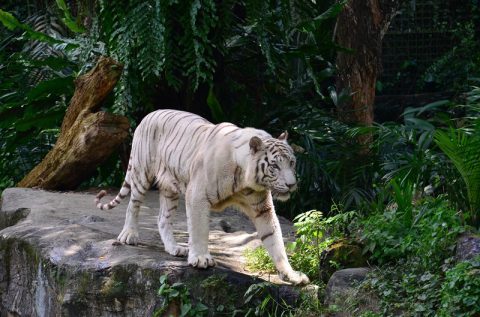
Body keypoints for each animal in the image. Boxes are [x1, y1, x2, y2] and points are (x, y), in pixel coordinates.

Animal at [95, 109, 310, 284]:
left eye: (292, 163)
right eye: (275, 166)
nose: (292, 185)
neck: (244, 179)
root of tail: (148, 115)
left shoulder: (262, 208)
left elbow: (275, 239)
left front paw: (291, 275)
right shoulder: (197, 195)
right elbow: (199, 229)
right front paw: (200, 259)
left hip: (170, 188)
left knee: (162, 219)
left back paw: (174, 248)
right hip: (142, 172)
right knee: (133, 204)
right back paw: (129, 235)